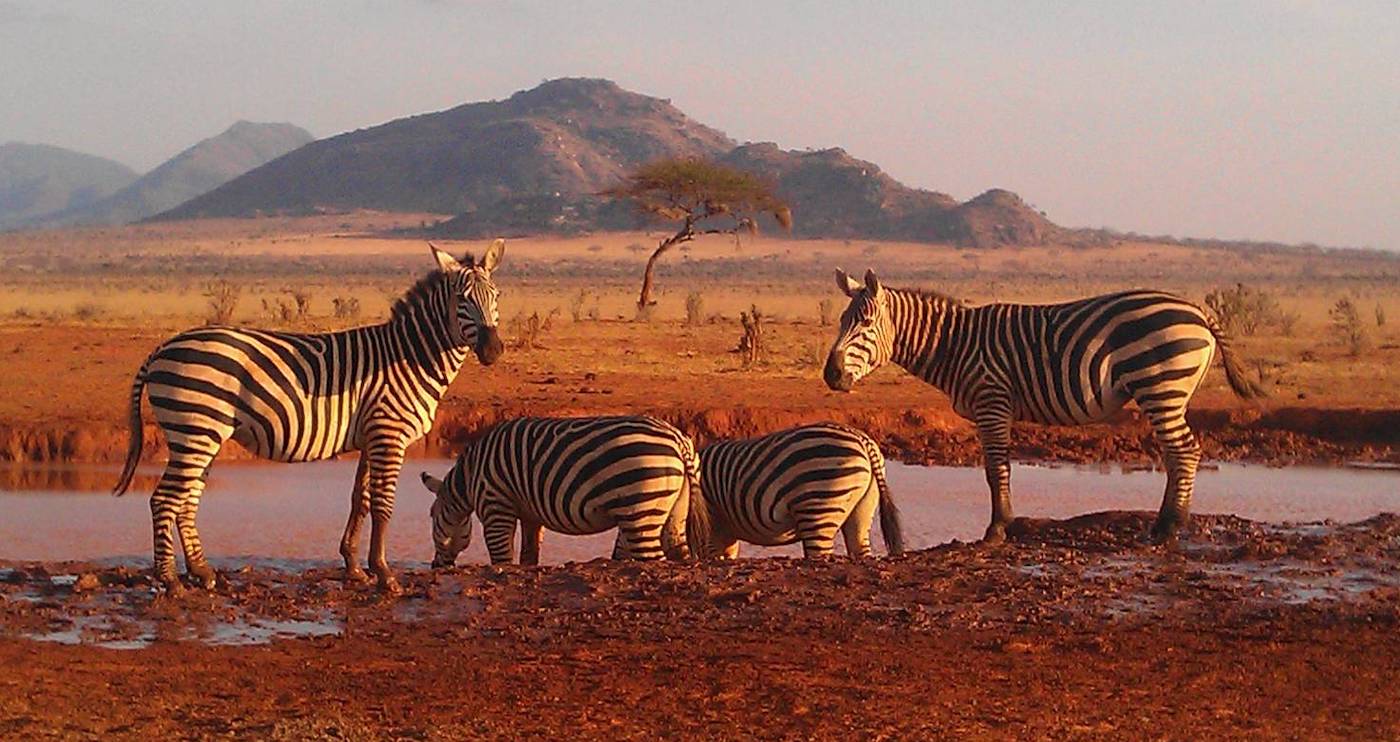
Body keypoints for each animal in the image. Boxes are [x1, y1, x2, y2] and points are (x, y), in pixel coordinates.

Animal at [110, 239, 504, 590]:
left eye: (496, 297)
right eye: (462, 300)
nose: (493, 350)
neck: (410, 357)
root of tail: (162, 348)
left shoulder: (370, 436)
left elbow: (360, 500)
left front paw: (354, 567)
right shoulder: (388, 434)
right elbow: (383, 504)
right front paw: (384, 574)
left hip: (201, 435)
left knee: (186, 502)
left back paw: (202, 572)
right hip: (195, 429)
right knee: (164, 501)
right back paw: (170, 581)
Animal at [414, 411, 711, 562]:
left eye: (431, 516)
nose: (436, 566)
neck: (470, 477)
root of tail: (677, 439)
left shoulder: (496, 505)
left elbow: (501, 558)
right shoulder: (530, 514)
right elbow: (529, 556)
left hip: (640, 510)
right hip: (674, 507)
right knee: (677, 549)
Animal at [700, 420, 907, 557]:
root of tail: (863, 440)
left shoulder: (711, 530)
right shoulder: (725, 534)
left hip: (818, 507)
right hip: (862, 508)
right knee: (859, 547)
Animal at [817, 268, 1271, 540]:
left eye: (866, 324)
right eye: (841, 322)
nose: (831, 375)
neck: (954, 344)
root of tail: (1200, 313)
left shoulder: (992, 399)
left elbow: (996, 468)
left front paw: (998, 527)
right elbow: (998, 468)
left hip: (1161, 385)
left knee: (1185, 451)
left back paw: (1169, 527)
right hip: (1167, 392)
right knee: (1180, 453)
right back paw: (1166, 522)